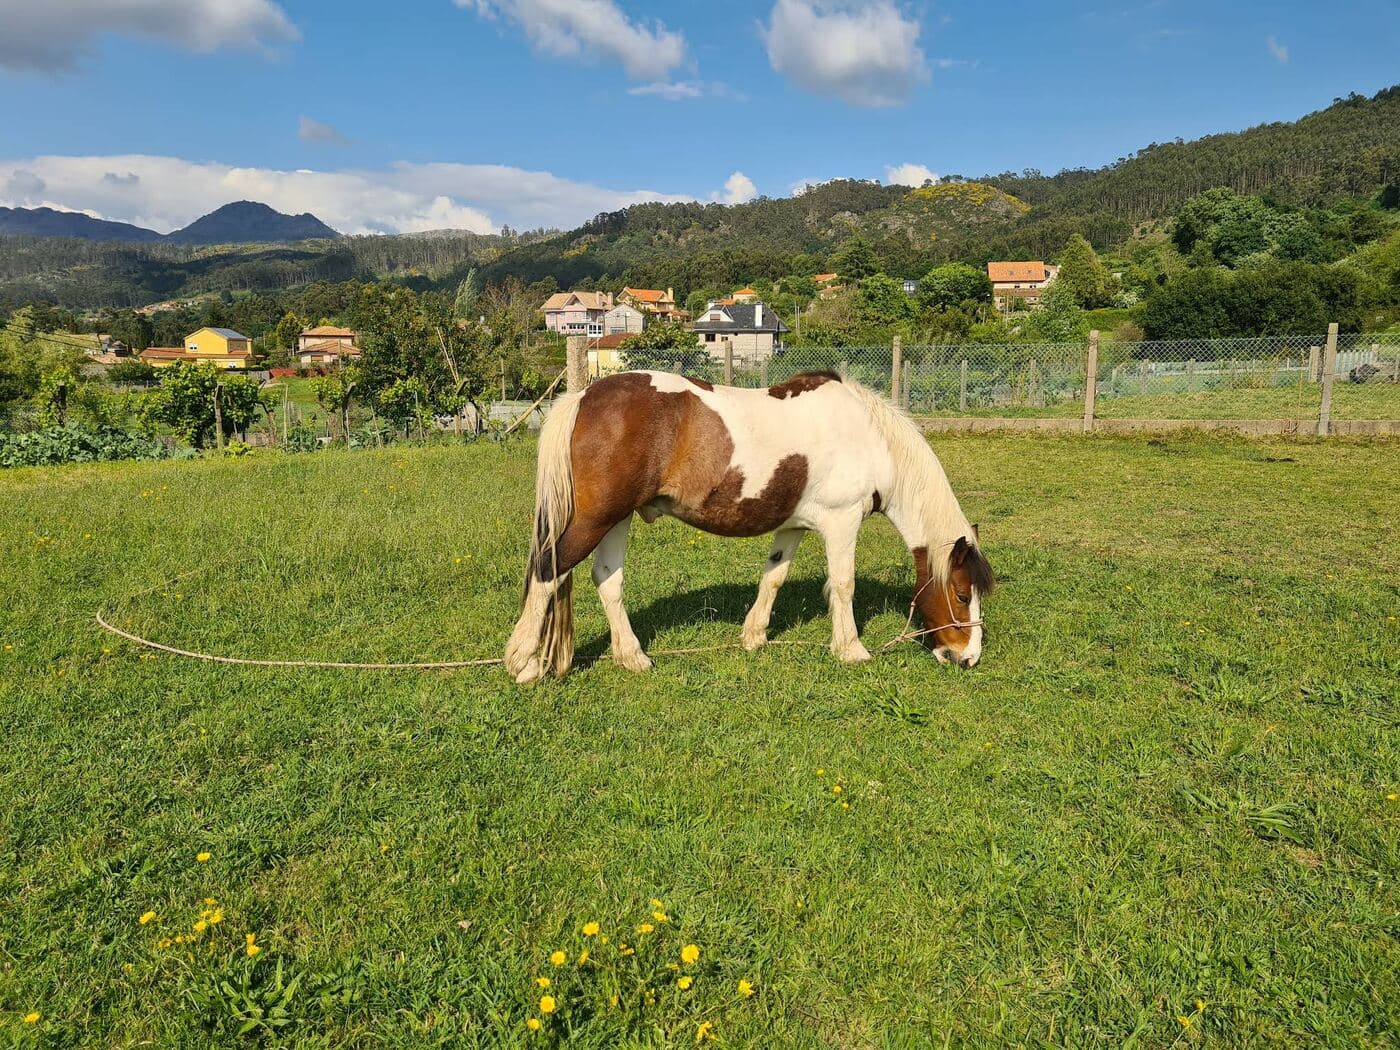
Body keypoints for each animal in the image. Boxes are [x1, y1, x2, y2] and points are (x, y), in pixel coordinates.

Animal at [504, 370, 993, 685]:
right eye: (961, 594)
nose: (968, 657)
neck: (870, 439)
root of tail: (584, 397)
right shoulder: (842, 522)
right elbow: (843, 584)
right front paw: (851, 649)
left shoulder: (793, 527)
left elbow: (774, 577)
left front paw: (754, 636)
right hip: (596, 518)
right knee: (549, 571)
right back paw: (523, 663)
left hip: (617, 518)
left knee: (607, 580)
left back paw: (632, 657)